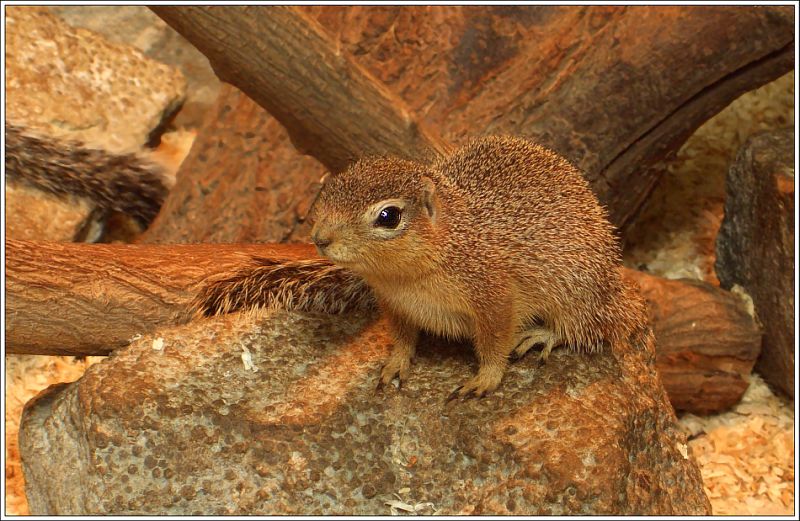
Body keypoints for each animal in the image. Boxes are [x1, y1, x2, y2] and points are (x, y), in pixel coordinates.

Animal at [194, 137, 648, 398]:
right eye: (328, 187)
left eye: (388, 216)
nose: (321, 238)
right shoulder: (395, 305)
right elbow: (402, 338)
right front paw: (395, 364)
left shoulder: (495, 297)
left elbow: (494, 342)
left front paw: (485, 379)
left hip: (577, 292)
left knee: (590, 327)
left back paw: (544, 335)